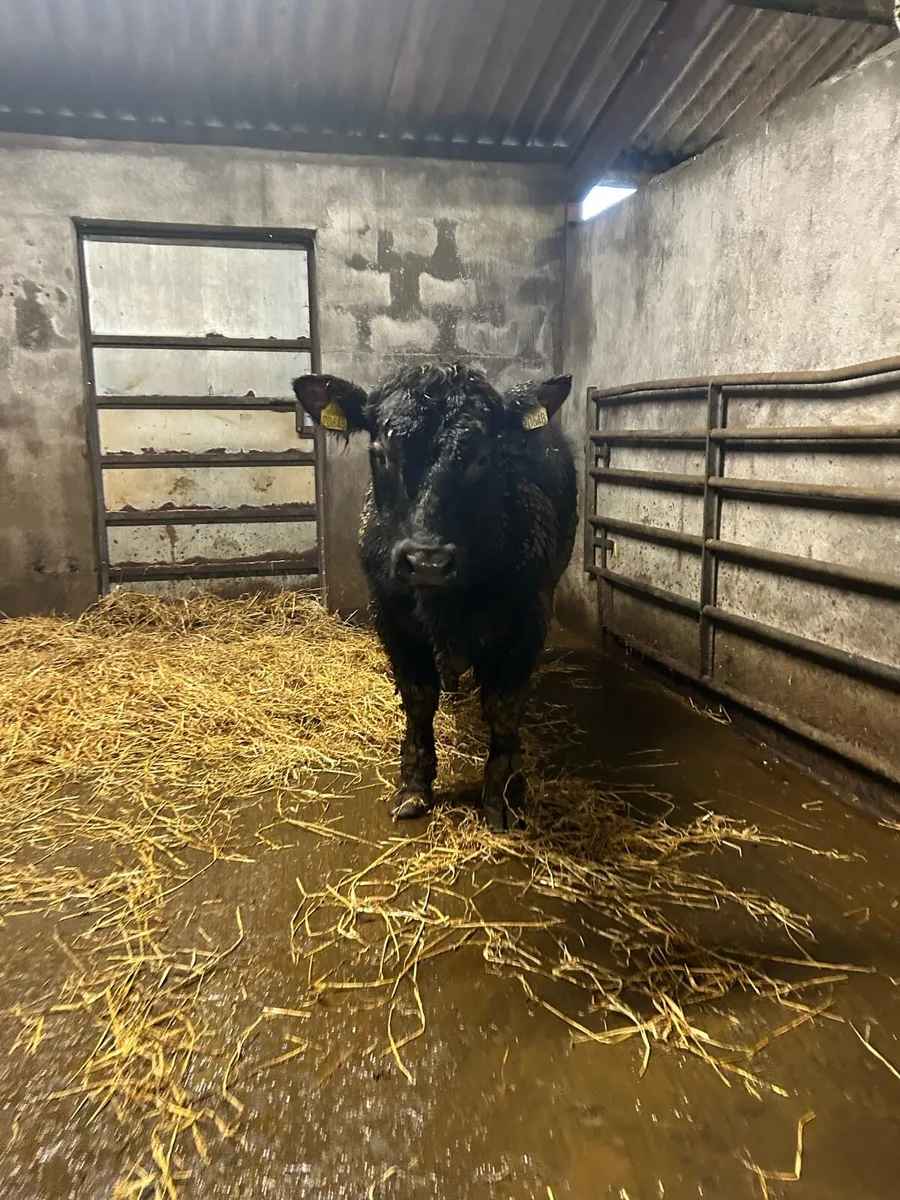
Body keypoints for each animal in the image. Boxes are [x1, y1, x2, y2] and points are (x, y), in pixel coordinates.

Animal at [292, 363, 577, 831]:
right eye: (381, 453)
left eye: (483, 456)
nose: (427, 561)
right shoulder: (389, 615)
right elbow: (418, 697)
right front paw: (413, 784)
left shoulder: (529, 614)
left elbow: (504, 705)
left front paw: (501, 795)